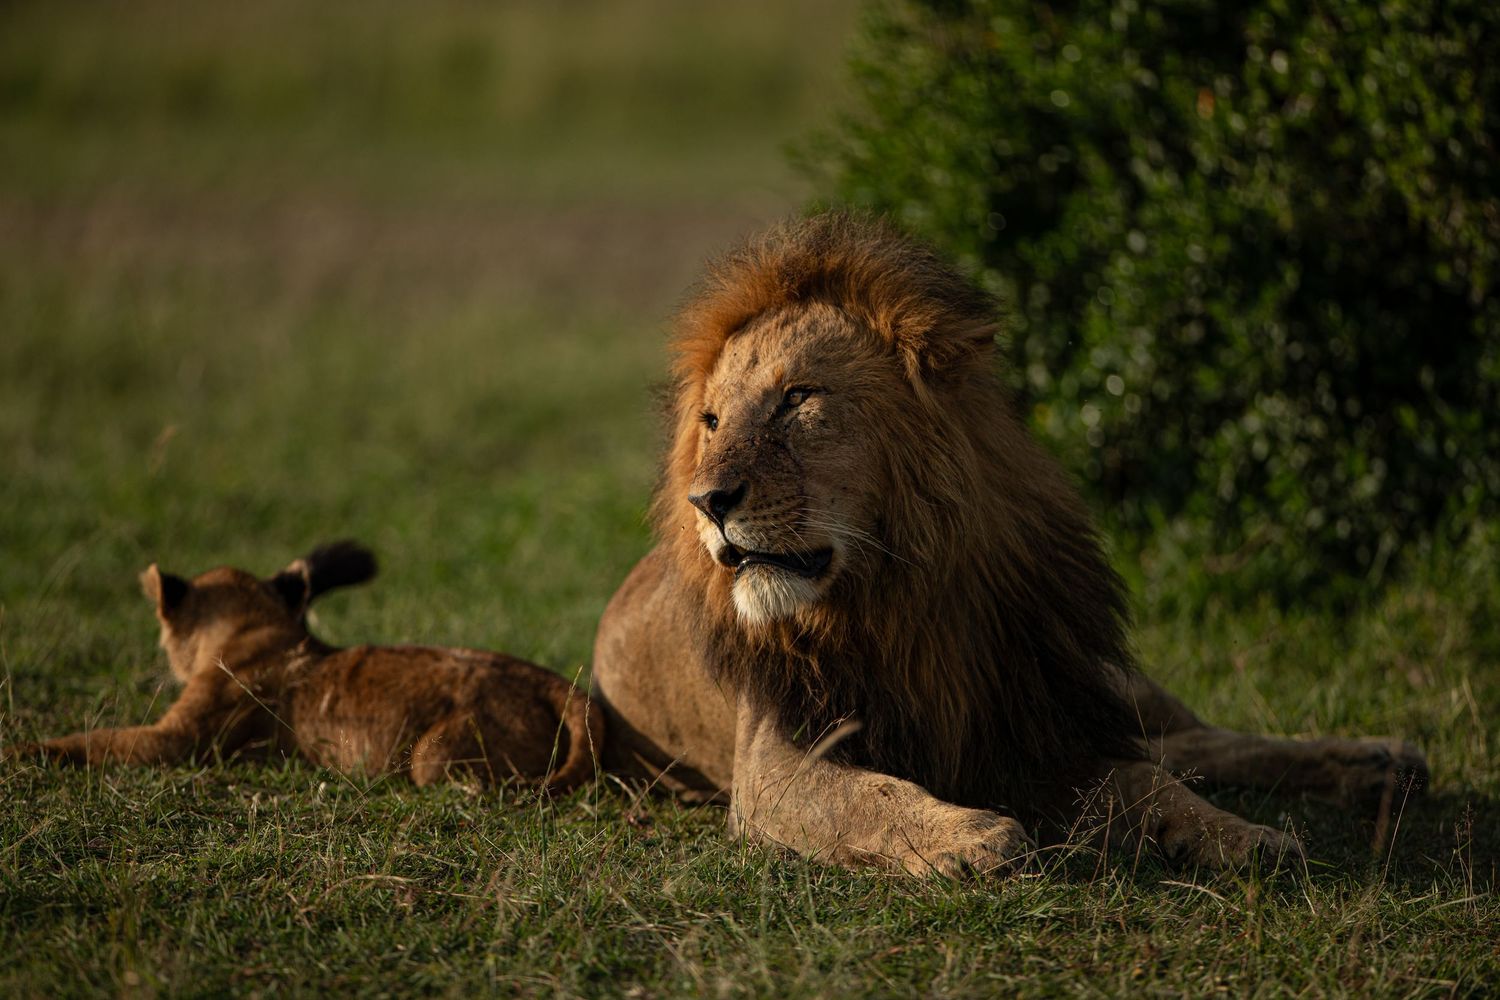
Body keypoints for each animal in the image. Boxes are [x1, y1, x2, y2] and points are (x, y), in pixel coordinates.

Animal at [9, 541, 601, 791]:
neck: (259, 628)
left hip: (433, 754)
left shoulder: (181, 741)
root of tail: (550, 680)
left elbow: (104, 740)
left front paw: (25, 751)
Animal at [591, 213, 1428, 875]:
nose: (707, 502)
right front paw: (967, 837)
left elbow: (1153, 785)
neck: (901, 594)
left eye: (798, 399)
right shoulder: (775, 761)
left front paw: (1246, 838)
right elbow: (869, 796)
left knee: (1192, 742)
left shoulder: (1036, 717)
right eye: (711, 422)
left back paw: (1380, 759)